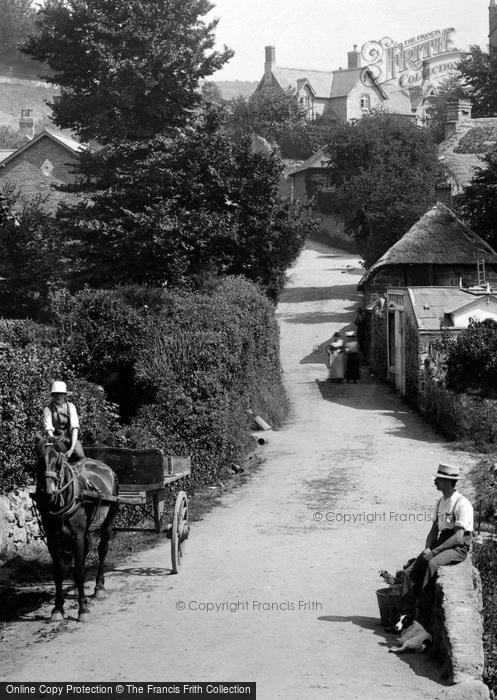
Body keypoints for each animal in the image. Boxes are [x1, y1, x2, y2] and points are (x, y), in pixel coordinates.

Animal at [33, 432, 118, 624]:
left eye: (59, 462)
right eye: (39, 460)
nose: (48, 493)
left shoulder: (77, 536)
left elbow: (79, 571)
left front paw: (83, 608)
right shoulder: (52, 538)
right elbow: (58, 572)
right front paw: (58, 608)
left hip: (108, 520)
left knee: (102, 550)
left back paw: (99, 587)